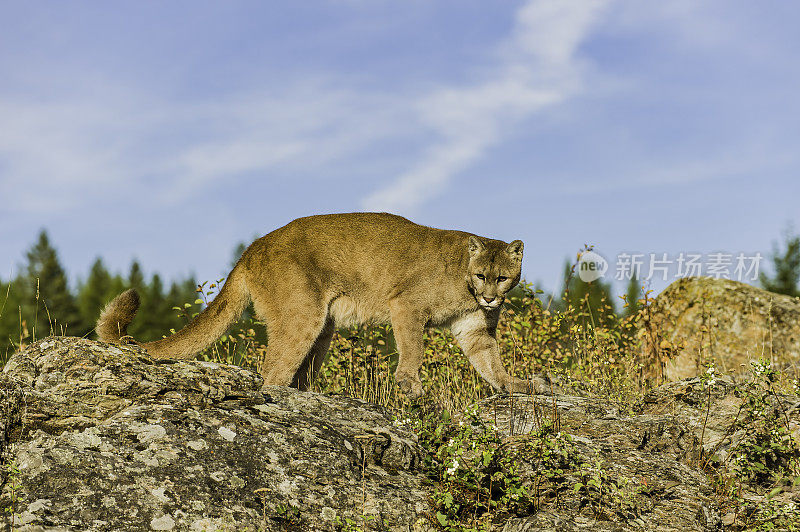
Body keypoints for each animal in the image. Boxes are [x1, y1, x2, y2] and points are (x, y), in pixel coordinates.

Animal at [97, 214, 548, 396]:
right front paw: (411, 385)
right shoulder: (406, 306)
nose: (490, 297)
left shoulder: (474, 327)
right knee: (272, 372)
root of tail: (252, 248)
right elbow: (413, 348)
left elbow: (491, 363)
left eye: (502, 278)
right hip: (304, 315)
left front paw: (519, 386)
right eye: (482, 275)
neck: (463, 278)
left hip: (323, 326)